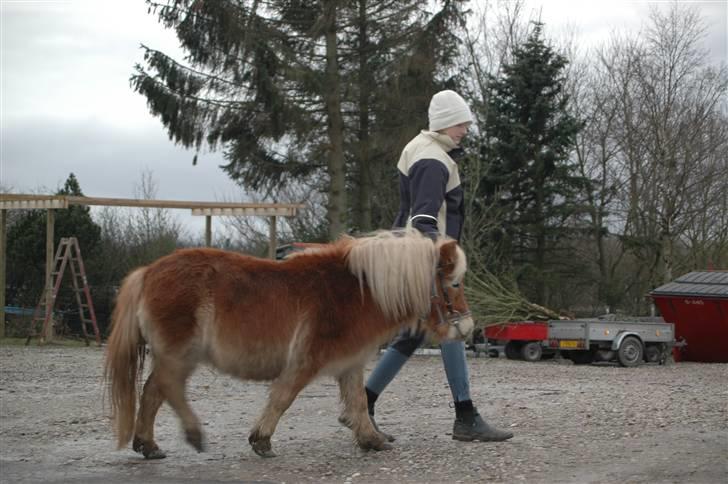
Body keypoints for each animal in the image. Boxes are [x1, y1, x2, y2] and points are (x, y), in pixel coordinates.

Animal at [105, 229, 474, 460]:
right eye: (454, 283)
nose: (469, 328)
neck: (356, 291)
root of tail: (148, 272)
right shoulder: (305, 361)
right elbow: (283, 397)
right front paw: (261, 440)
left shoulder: (351, 363)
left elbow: (357, 401)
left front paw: (371, 439)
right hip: (180, 354)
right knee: (167, 387)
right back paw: (192, 434)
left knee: (153, 391)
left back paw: (148, 445)